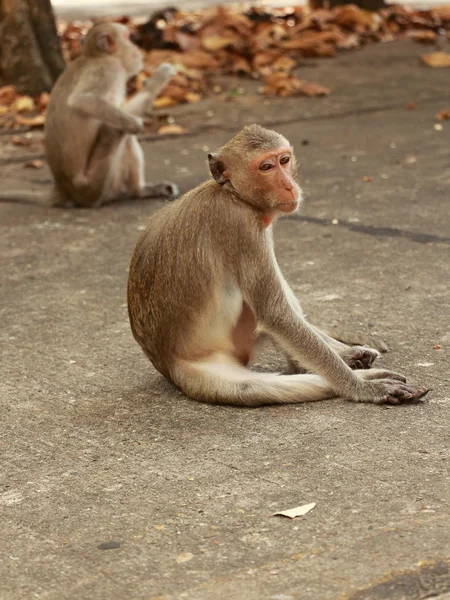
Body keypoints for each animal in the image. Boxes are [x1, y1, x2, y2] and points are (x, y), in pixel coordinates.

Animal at [0, 21, 179, 209]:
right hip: (95, 185)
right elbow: (81, 100)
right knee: (116, 130)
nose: (137, 48)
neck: (94, 55)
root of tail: (63, 189)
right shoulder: (108, 70)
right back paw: (136, 189)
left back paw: (141, 191)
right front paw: (157, 83)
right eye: (128, 37)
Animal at [126, 125, 428, 408]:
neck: (233, 195)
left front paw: (348, 354)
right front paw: (362, 388)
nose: (289, 186)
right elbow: (275, 314)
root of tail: (169, 364)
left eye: (284, 160)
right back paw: (355, 376)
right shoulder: (241, 225)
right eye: (266, 167)